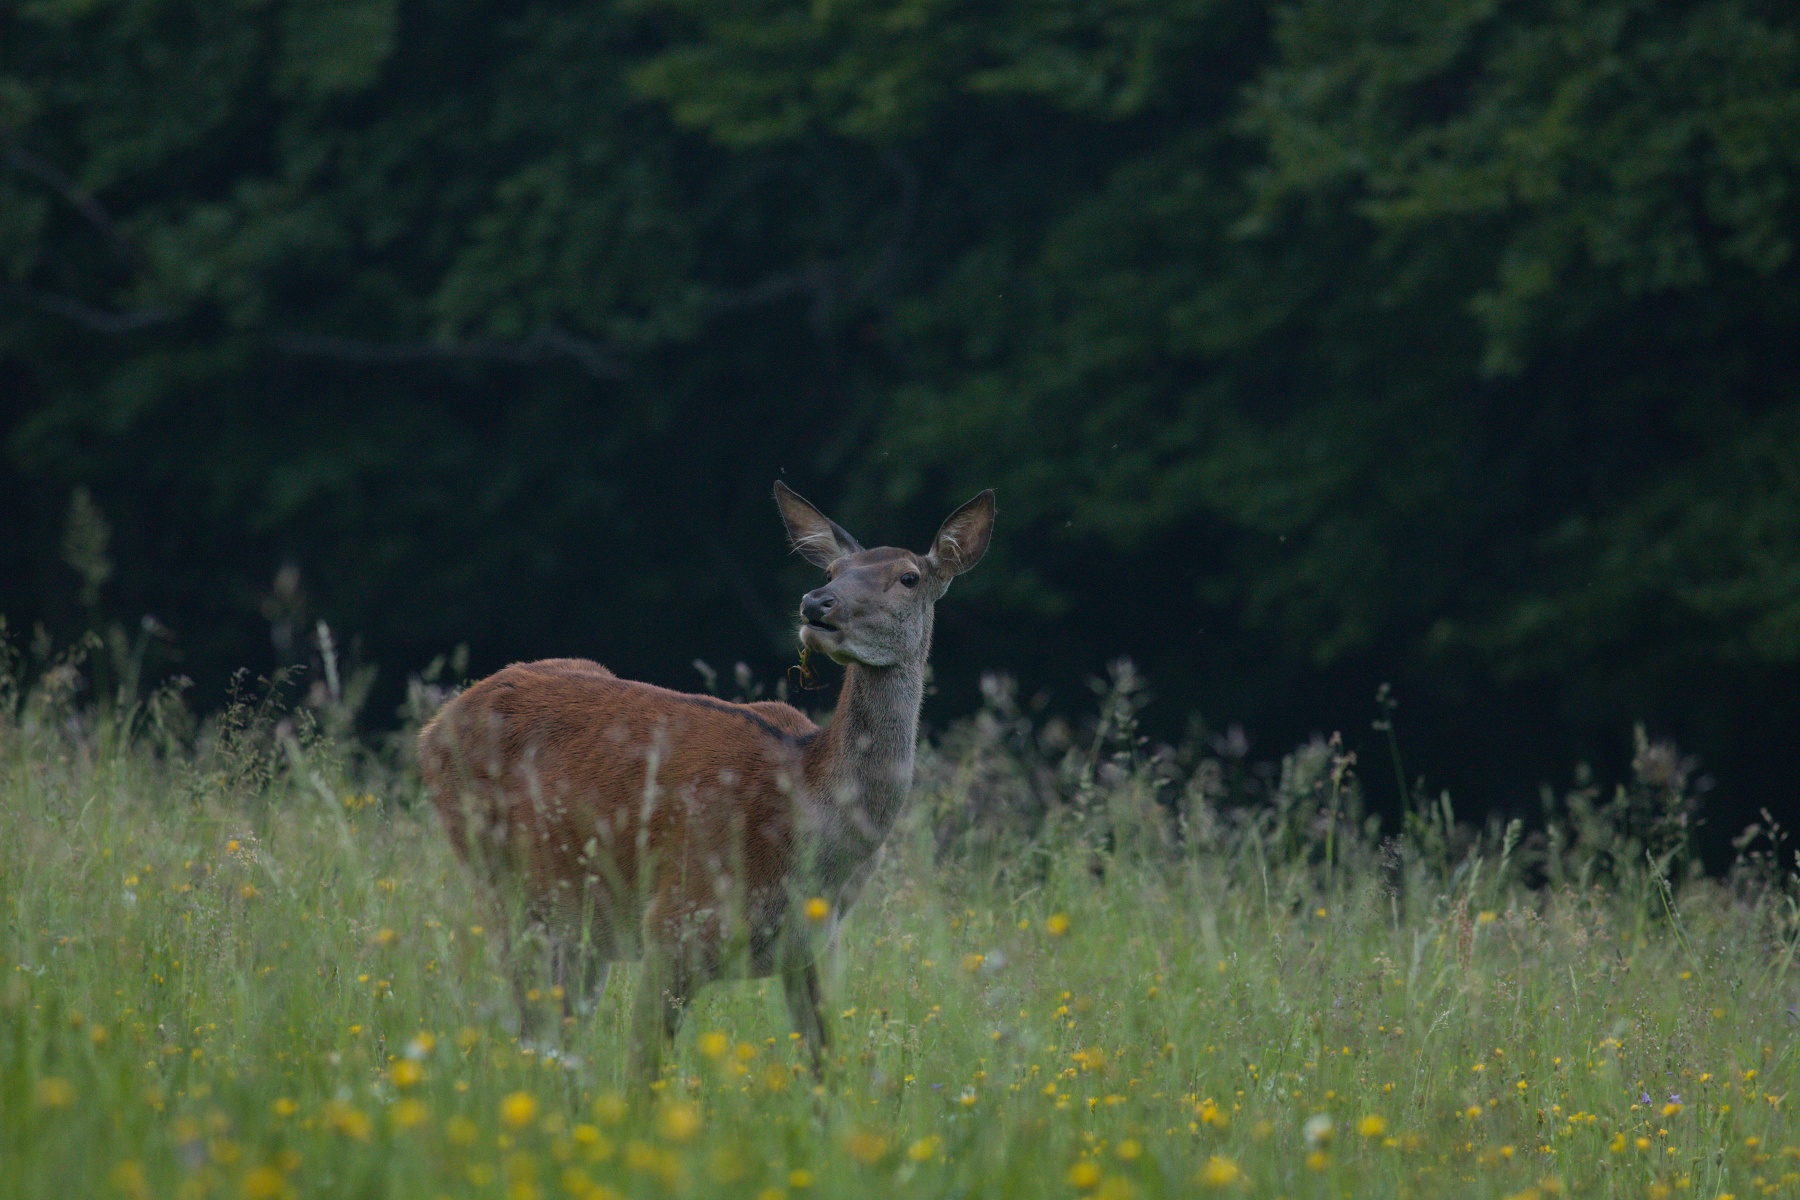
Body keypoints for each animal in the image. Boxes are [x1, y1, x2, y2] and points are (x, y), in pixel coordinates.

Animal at [414, 482, 993, 1086]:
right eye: (833, 569)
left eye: (909, 576)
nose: (817, 603)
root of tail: (434, 726)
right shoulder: (675, 925)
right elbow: (642, 1074)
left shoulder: (814, 951)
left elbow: (827, 1074)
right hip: (505, 886)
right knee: (530, 1029)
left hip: (579, 925)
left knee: (560, 1036)